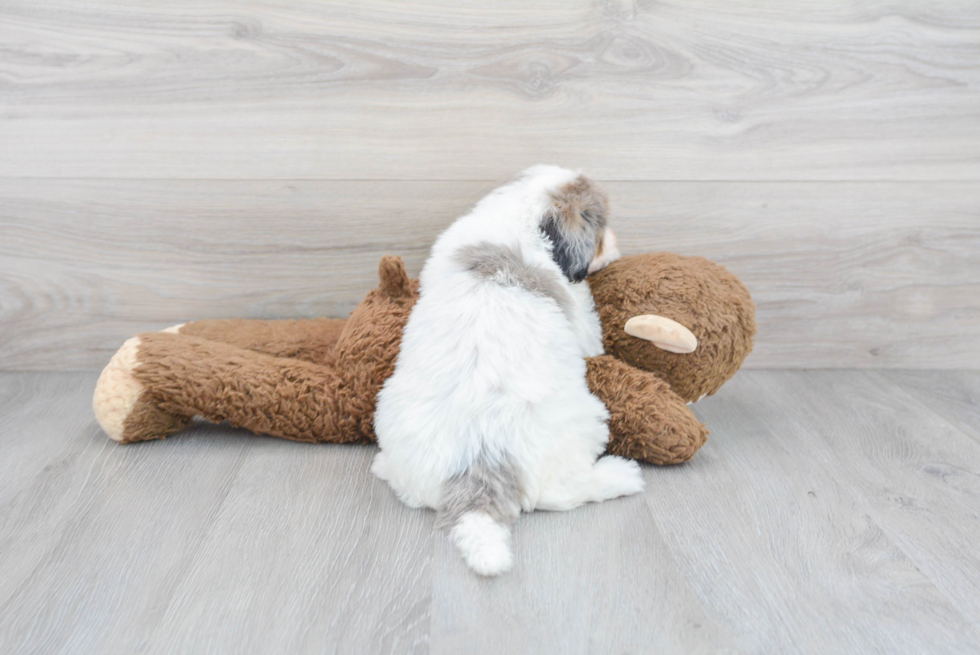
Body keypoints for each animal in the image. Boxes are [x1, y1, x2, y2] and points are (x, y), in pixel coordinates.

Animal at [370, 167, 644, 576]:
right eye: (600, 226)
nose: (615, 241)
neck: (521, 218)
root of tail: (479, 461)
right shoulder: (582, 317)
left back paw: (383, 465)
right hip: (585, 423)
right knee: (564, 491)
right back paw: (620, 476)